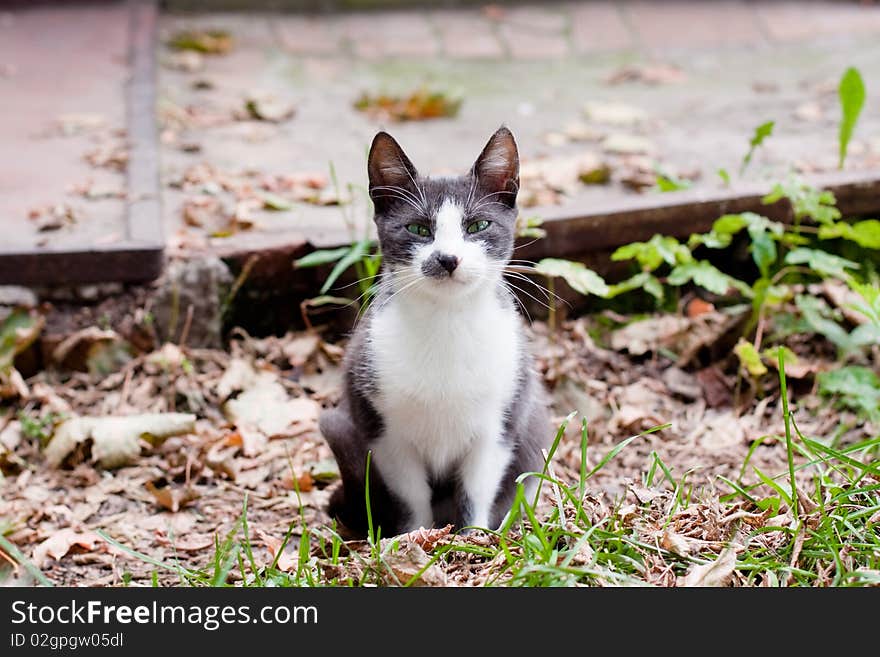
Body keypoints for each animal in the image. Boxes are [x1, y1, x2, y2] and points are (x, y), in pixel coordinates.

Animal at [320, 128, 548, 540]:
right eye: (418, 229)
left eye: (477, 226)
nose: (448, 258)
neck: (447, 324)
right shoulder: (384, 430)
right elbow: (410, 495)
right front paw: (413, 538)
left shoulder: (499, 422)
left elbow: (477, 488)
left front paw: (473, 540)